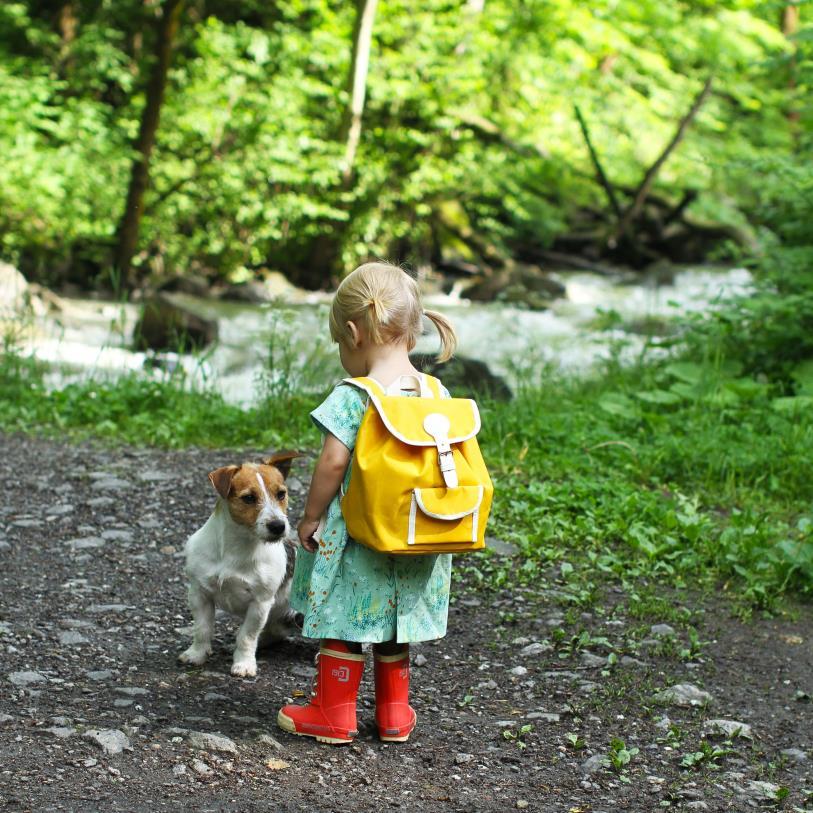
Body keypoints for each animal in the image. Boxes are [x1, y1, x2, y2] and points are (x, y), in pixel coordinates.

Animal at [178, 454, 302, 676]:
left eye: (281, 494)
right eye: (249, 498)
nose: (278, 526)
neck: (236, 548)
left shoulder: (260, 603)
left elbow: (247, 636)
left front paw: (243, 664)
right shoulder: (199, 594)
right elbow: (202, 629)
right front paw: (197, 654)